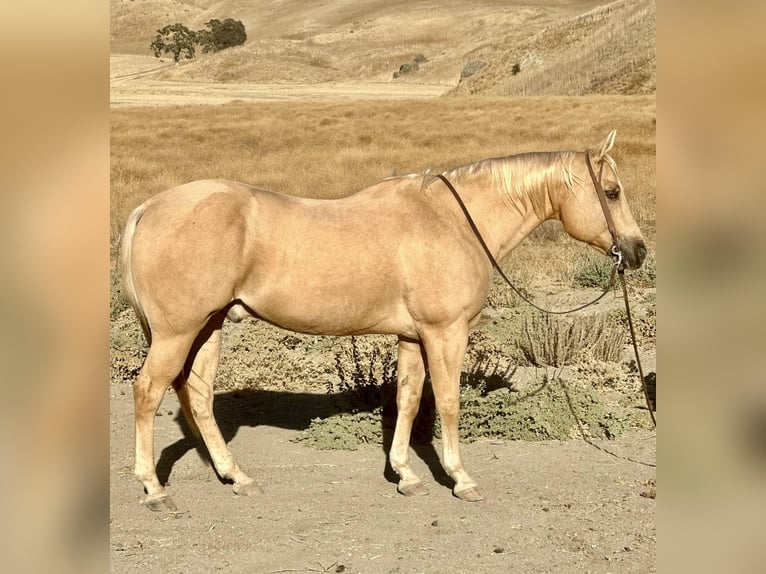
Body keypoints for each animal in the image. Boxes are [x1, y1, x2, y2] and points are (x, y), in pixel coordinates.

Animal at [120, 132, 648, 512]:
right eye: (612, 191)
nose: (638, 251)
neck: (453, 221)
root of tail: (149, 208)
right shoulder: (445, 332)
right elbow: (448, 403)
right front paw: (460, 478)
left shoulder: (412, 336)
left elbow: (409, 401)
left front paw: (406, 474)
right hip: (177, 333)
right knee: (148, 393)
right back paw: (154, 488)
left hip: (208, 328)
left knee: (199, 397)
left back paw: (237, 477)